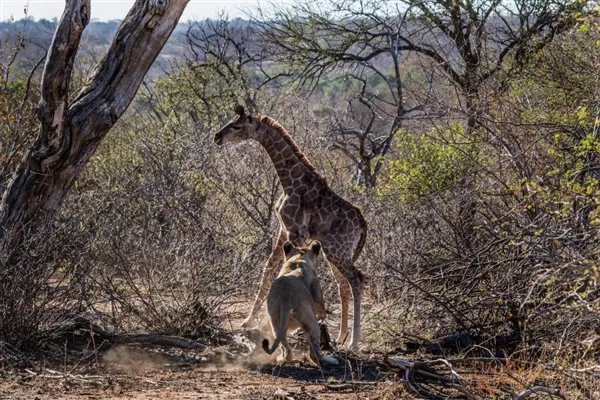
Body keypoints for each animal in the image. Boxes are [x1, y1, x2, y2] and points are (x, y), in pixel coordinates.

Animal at [213, 104, 368, 348]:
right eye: (230, 121)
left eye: (237, 126)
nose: (217, 136)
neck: (289, 181)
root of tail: (362, 223)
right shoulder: (282, 229)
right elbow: (268, 269)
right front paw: (248, 320)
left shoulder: (296, 232)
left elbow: (289, 268)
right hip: (335, 252)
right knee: (343, 283)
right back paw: (341, 336)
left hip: (338, 250)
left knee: (357, 280)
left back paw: (353, 341)